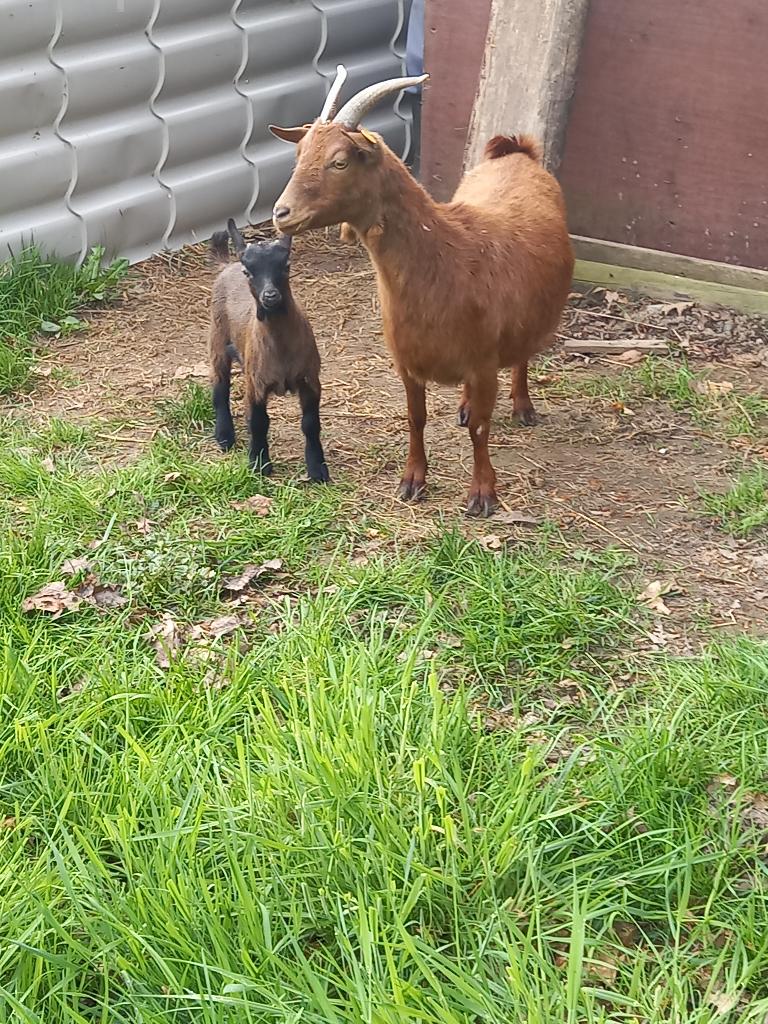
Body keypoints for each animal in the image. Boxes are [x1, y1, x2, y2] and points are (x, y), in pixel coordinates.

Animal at [208, 220, 329, 482]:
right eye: (248, 271)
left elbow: (310, 423)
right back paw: (224, 436)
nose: (270, 296)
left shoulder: (310, 379)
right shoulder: (256, 383)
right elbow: (258, 422)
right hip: (217, 339)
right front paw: (259, 463)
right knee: (220, 386)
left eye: (286, 265)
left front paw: (318, 468)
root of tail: (226, 265)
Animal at [268, 66, 573, 515]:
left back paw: (522, 406)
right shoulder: (407, 362)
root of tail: (517, 152)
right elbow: (417, 418)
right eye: (298, 155)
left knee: (521, 357)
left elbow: (481, 428)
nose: (281, 213)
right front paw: (412, 481)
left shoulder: (483, 361)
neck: (446, 259)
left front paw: (482, 493)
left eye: (339, 161)